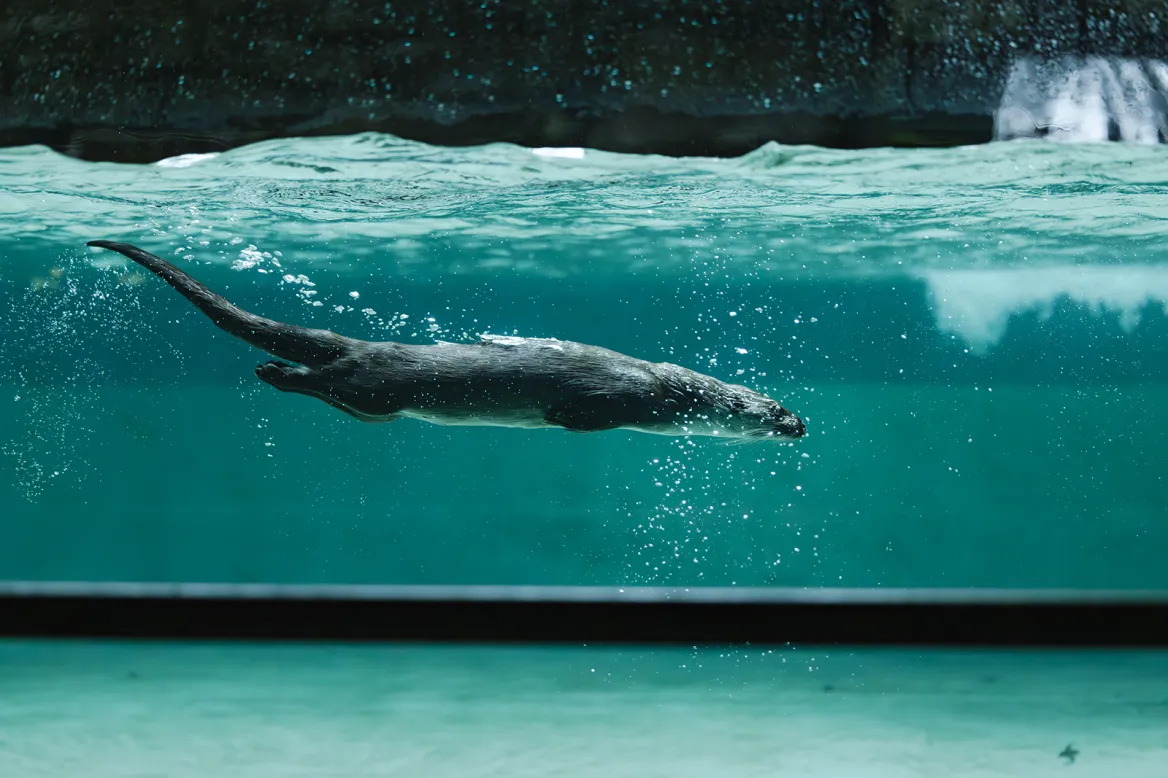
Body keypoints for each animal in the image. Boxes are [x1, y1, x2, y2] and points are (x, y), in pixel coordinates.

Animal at [86, 241, 806, 442]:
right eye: (774, 407)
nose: (801, 424)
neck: (668, 391)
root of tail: (364, 344)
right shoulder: (619, 395)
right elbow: (584, 410)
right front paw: (562, 417)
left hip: (376, 403)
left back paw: (270, 368)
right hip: (377, 382)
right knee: (325, 378)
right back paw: (272, 373)